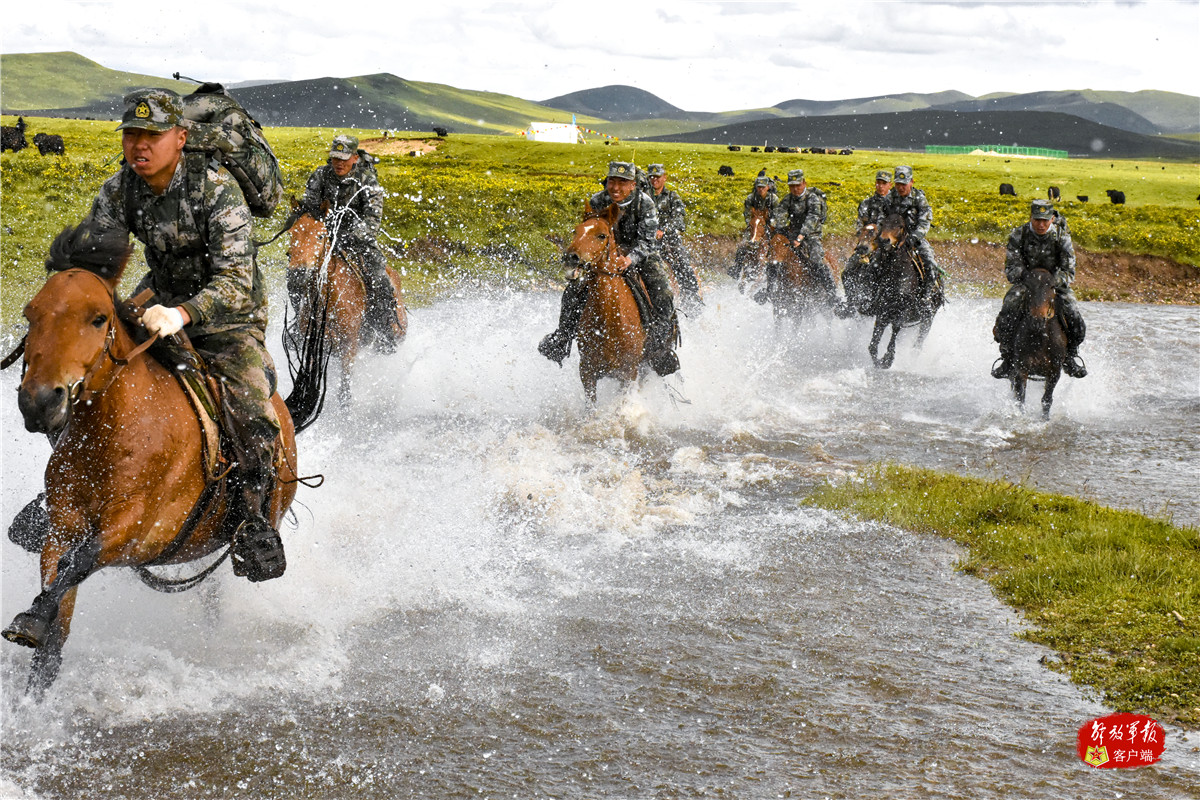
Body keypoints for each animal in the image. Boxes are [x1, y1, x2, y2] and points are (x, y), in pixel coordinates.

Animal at [0, 224, 304, 695]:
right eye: (31, 314)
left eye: (98, 318)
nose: (38, 402)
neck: (114, 433)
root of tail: (282, 411)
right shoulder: (61, 526)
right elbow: (56, 616)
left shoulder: (137, 531)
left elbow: (78, 562)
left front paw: (29, 619)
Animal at [559, 200, 657, 400]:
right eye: (575, 231)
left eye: (601, 235)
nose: (570, 258)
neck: (610, 319)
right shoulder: (587, 371)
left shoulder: (629, 374)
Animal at [868, 212, 940, 369]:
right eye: (882, 223)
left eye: (900, 226)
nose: (884, 240)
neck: (898, 273)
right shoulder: (883, 310)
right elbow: (874, 340)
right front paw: (878, 360)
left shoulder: (903, 310)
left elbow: (895, 328)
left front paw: (888, 358)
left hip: (928, 319)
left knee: (918, 343)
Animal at [1008, 268, 1065, 419]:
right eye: (1027, 286)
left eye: (1052, 286)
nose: (1037, 320)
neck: (1040, 338)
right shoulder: (1021, 369)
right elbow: (1020, 398)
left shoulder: (1054, 372)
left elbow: (1047, 400)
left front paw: (1045, 419)